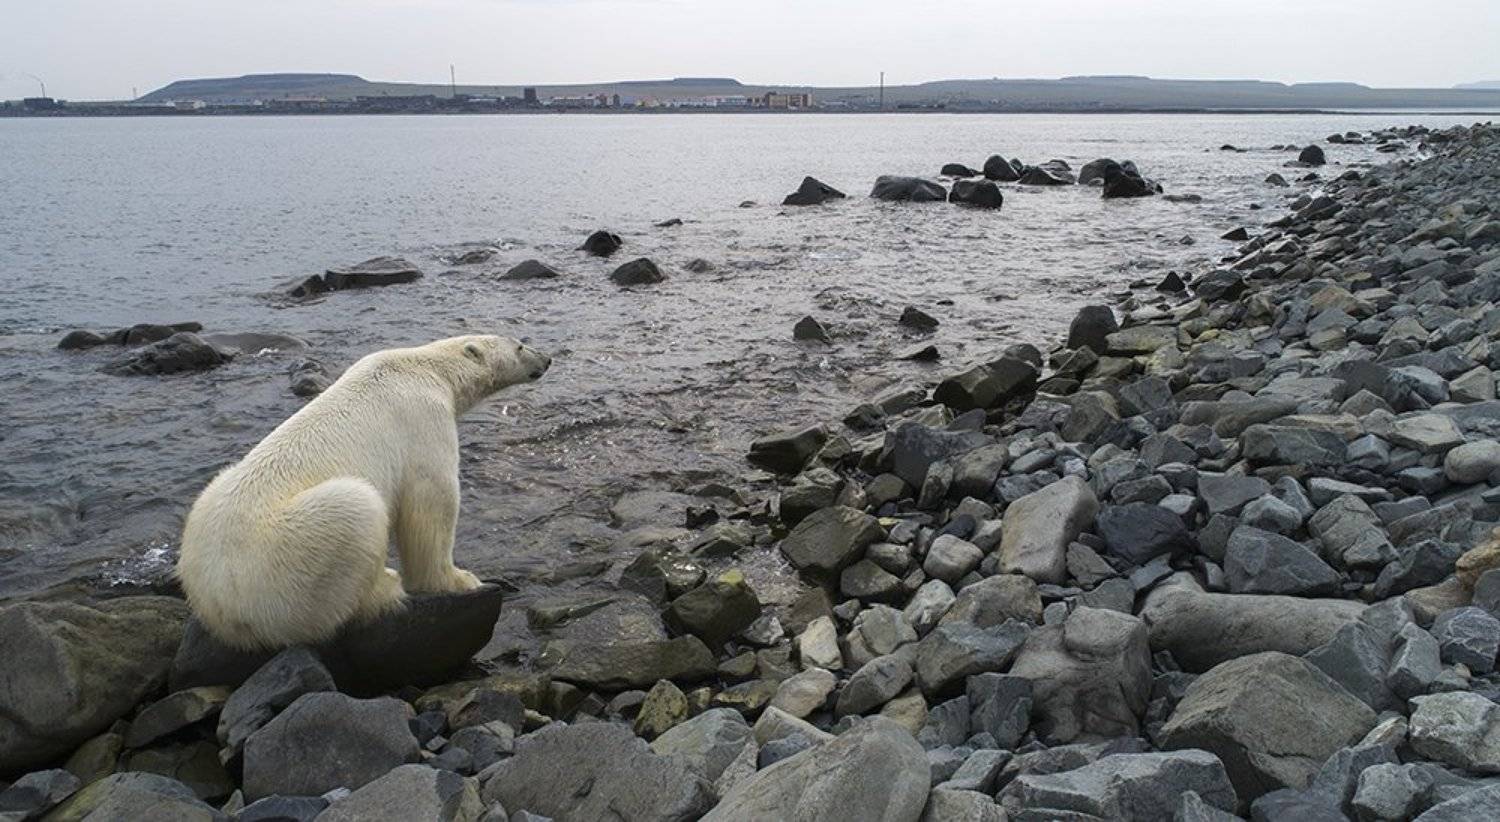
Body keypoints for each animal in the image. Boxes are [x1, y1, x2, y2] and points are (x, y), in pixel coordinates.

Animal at [176, 334, 551, 651]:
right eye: (520, 345)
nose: (547, 359)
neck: (426, 368)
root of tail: (214, 602)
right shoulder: (424, 420)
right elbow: (432, 502)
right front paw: (460, 579)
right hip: (282, 561)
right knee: (357, 511)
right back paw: (385, 587)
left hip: (211, 504)